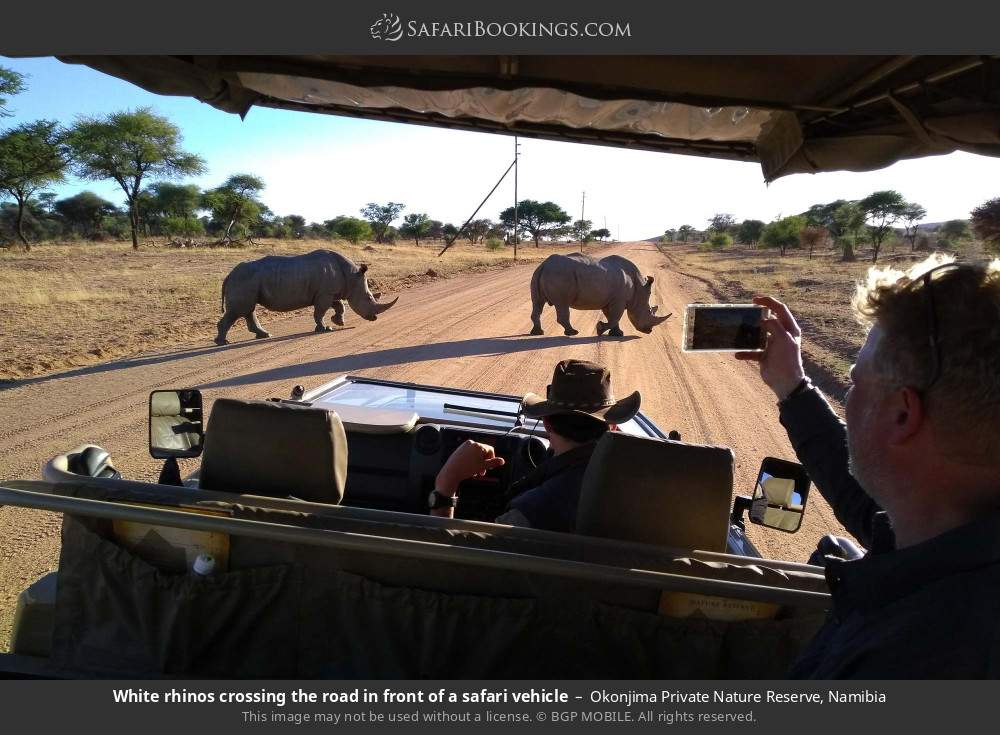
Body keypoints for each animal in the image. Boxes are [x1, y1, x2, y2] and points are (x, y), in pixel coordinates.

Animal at [216, 249, 398, 346]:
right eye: (368, 298)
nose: (374, 318)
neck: (352, 277)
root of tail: (229, 275)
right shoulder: (325, 294)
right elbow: (320, 312)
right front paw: (325, 329)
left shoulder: (329, 292)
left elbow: (339, 306)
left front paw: (339, 322)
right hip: (244, 279)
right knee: (240, 310)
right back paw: (223, 342)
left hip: (247, 281)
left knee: (248, 309)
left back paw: (264, 335)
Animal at [532, 250, 672, 336]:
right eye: (648, 311)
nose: (649, 331)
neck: (639, 290)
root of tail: (544, 264)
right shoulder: (619, 300)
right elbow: (615, 317)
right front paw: (600, 329)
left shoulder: (609, 300)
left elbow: (611, 317)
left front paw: (617, 334)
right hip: (560, 274)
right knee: (562, 304)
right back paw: (573, 332)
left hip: (540, 273)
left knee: (538, 303)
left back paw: (538, 332)